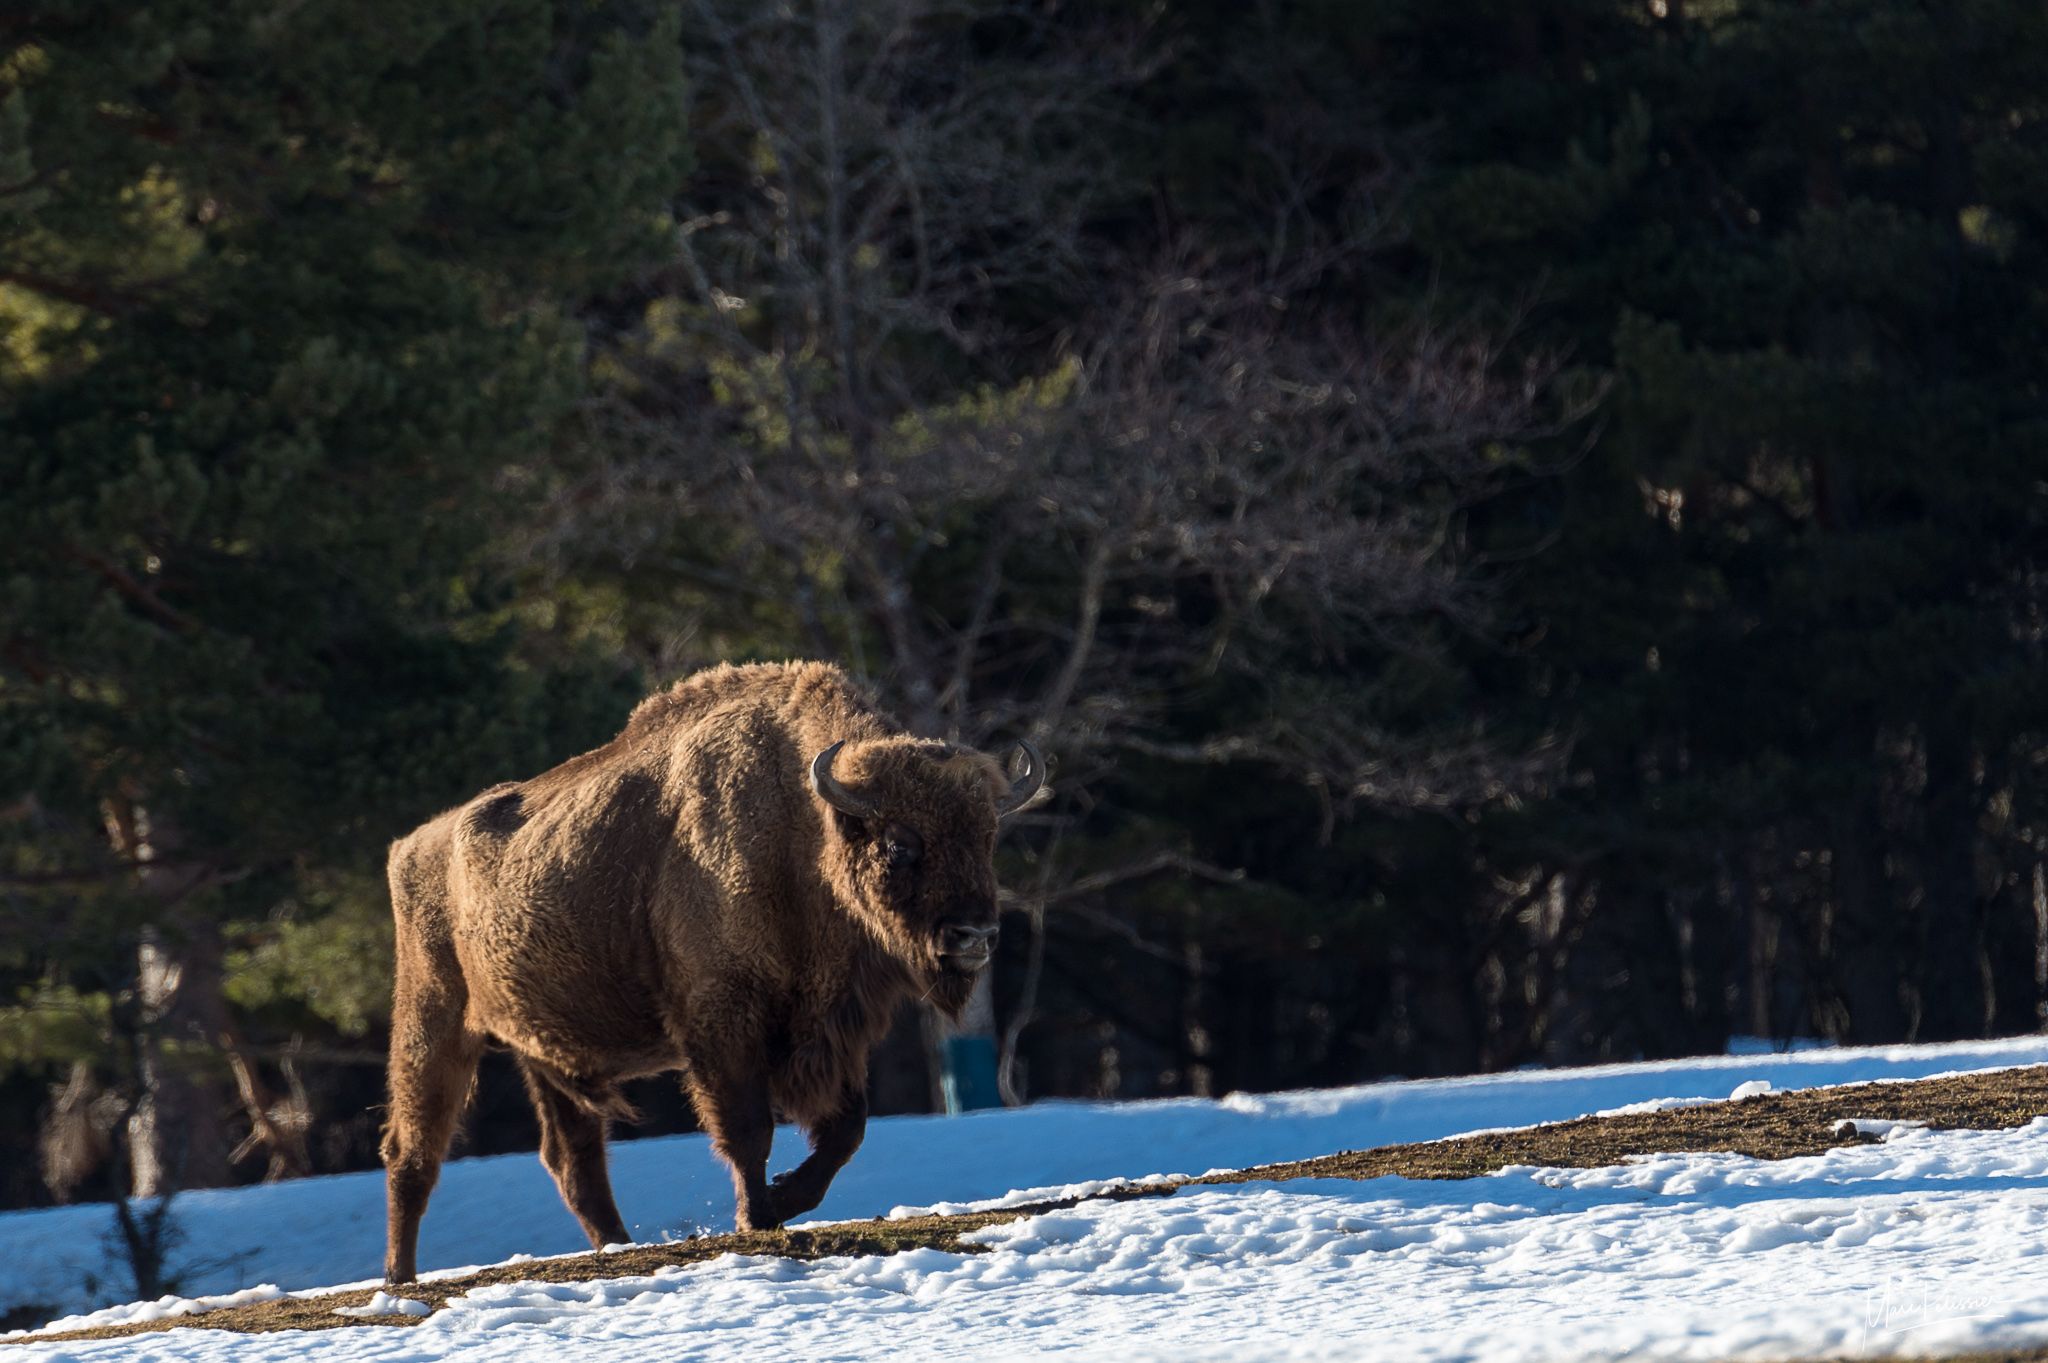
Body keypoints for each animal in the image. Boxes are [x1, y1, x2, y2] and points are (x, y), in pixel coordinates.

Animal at [379, 660, 1042, 1283]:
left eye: (987, 835)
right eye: (901, 843)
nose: (975, 936)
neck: (801, 824)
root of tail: (410, 847)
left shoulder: (836, 1026)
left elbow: (846, 1129)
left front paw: (783, 1198)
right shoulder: (724, 1023)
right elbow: (749, 1130)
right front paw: (758, 1214)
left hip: (545, 1054)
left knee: (573, 1162)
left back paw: (619, 1246)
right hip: (432, 1023)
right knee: (412, 1154)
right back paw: (399, 1276)